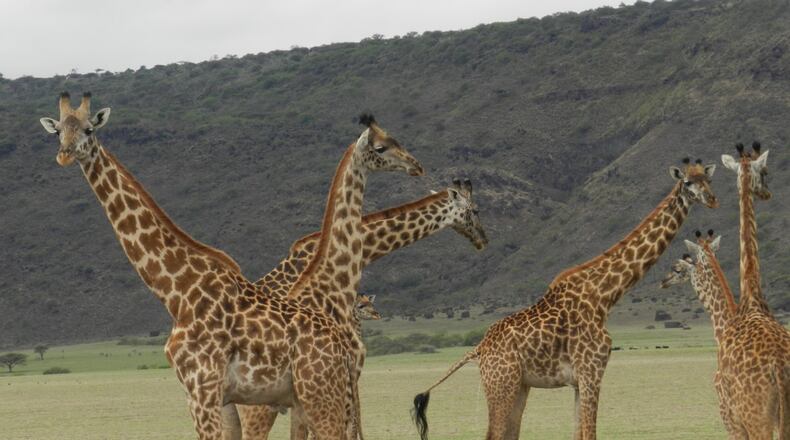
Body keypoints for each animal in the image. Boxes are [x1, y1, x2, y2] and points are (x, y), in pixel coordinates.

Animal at [38, 93, 421, 439]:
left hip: (320, 393)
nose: (64, 154)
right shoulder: (206, 394)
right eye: (58, 131)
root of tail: (340, 344)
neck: (175, 291)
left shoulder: (203, 388)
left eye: (89, 129)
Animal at [412, 158, 719, 440]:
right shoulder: (591, 372)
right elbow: (590, 433)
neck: (605, 295)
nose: (712, 200)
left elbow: (578, 433)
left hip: (519, 386)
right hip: (500, 384)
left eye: (708, 180)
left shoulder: (579, 381)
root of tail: (479, 348)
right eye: (688, 183)